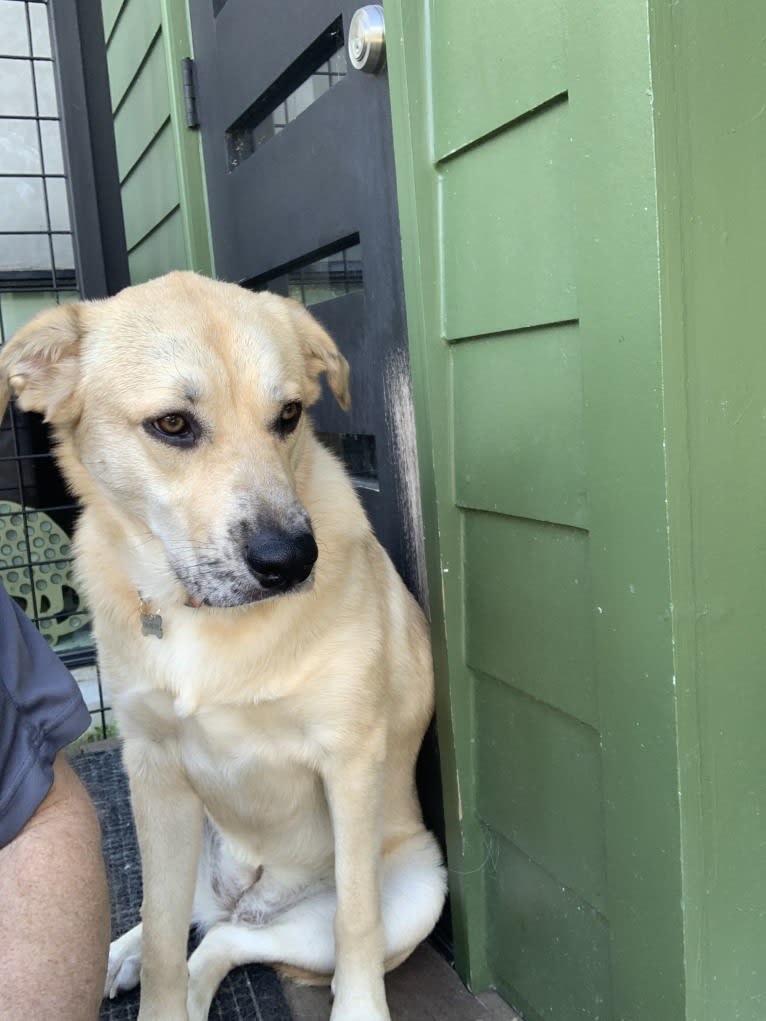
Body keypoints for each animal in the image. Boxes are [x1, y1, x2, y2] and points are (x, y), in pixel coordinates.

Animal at [0, 273, 447, 1021]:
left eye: (289, 414)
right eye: (173, 424)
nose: (291, 560)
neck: (198, 614)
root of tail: (247, 894)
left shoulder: (351, 759)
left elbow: (356, 921)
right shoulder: (152, 769)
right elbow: (160, 940)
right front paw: (150, 984)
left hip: (414, 886)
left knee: (227, 942)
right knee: (181, 921)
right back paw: (121, 953)